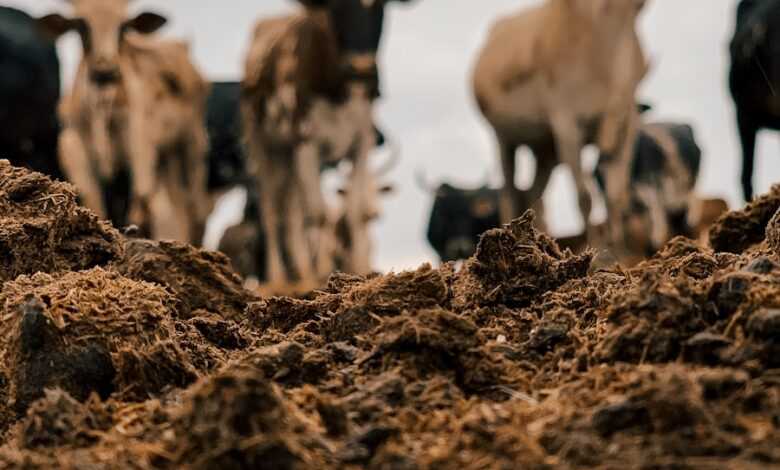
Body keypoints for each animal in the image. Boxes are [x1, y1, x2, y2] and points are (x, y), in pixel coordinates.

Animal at [37, 0, 210, 242]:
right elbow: (94, 201)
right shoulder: (75, 147)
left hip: (191, 147)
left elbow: (141, 203)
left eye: (123, 26)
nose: (106, 69)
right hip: (166, 161)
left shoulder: (140, 149)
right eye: (82, 25)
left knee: (194, 209)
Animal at [242, 0, 414, 286]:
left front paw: (360, 271)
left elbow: (356, 211)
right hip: (265, 148)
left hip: (290, 160)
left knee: (292, 211)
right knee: (272, 210)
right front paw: (321, 272)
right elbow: (318, 213)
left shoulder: (361, 143)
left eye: (381, 7)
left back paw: (300, 271)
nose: (361, 67)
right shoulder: (306, 143)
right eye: (337, 6)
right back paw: (282, 278)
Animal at [472, 0, 648, 250]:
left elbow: (616, 195)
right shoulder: (566, 123)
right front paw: (595, 247)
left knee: (532, 196)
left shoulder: (627, 126)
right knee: (509, 194)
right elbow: (584, 196)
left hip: (545, 150)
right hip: (503, 139)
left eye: (639, 8)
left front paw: (620, 248)